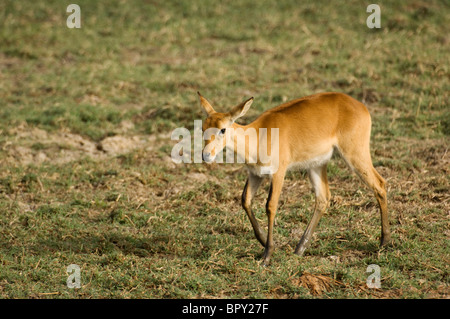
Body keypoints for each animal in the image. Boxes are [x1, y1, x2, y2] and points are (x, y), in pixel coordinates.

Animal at [197, 92, 390, 264]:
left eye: (223, 129)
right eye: (203, 128)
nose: (206, 155)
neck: (258, 137)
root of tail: (360, 106)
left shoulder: (278, 173)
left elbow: (270, 206)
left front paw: (267, 255)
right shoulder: (255, 174)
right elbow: (245, 200)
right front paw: (263, 241)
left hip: (354, 154)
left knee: (379, 184)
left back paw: (384, 242)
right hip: (316, 165)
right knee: (323, 198)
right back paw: (299, 249)